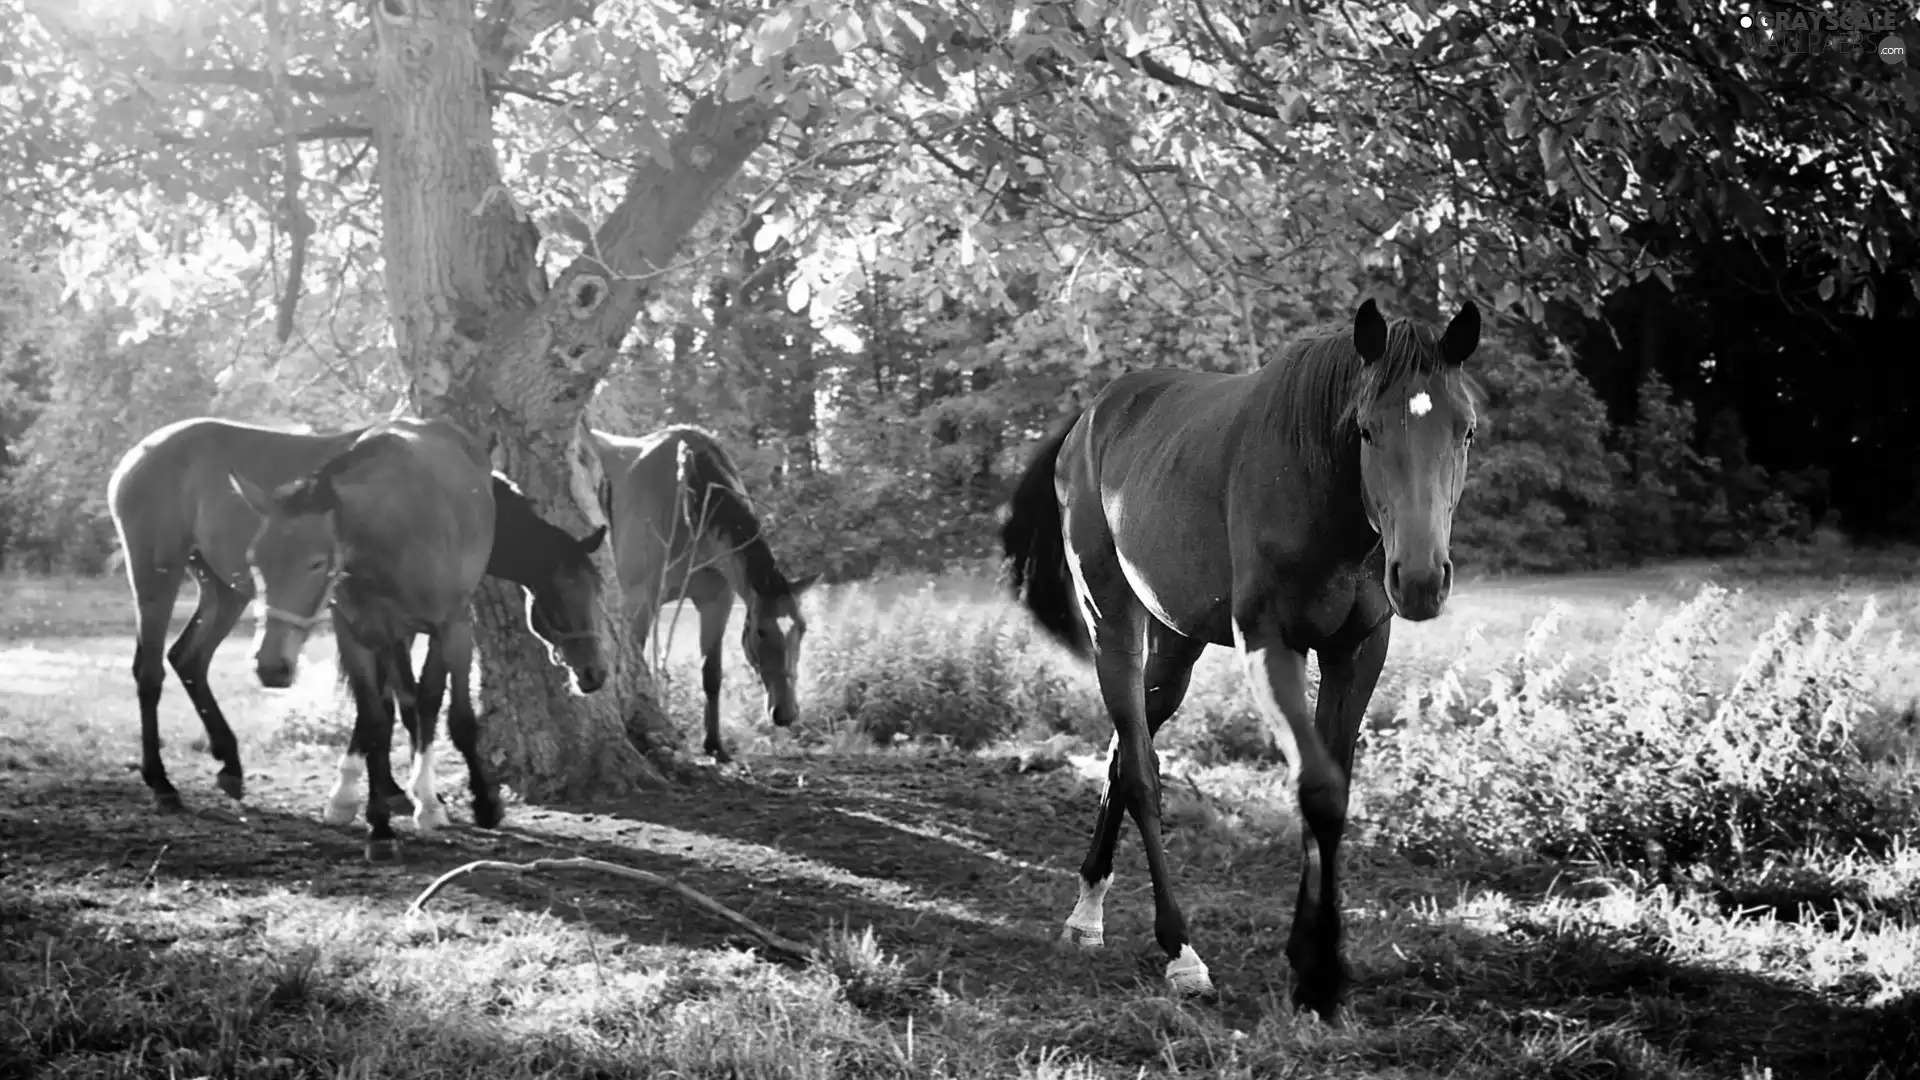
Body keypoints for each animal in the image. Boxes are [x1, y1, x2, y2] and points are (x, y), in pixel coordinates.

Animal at [568, 424, 810, 760]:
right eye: (760, 632)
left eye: (802, 629)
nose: (786, 713)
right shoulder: (637, 600)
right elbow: (633, 661)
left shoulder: (716, 602)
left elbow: (712, 675)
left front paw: (715, 745)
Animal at [1006, 297, 1482, 1014]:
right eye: (1366, 430)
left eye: (1465, 430)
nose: (1422, 579)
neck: (1317, 490)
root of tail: (1088, 420)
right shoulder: (1270, 646)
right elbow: (1315, 788)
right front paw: (1315, 974)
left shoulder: (1357, 652)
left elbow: (1333, 792)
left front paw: (1316, 962)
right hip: (1111, 622)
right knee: (1140, 770)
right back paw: (1179, 951)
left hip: (1176, 648)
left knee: (1123, 750)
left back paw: (1087, 911)